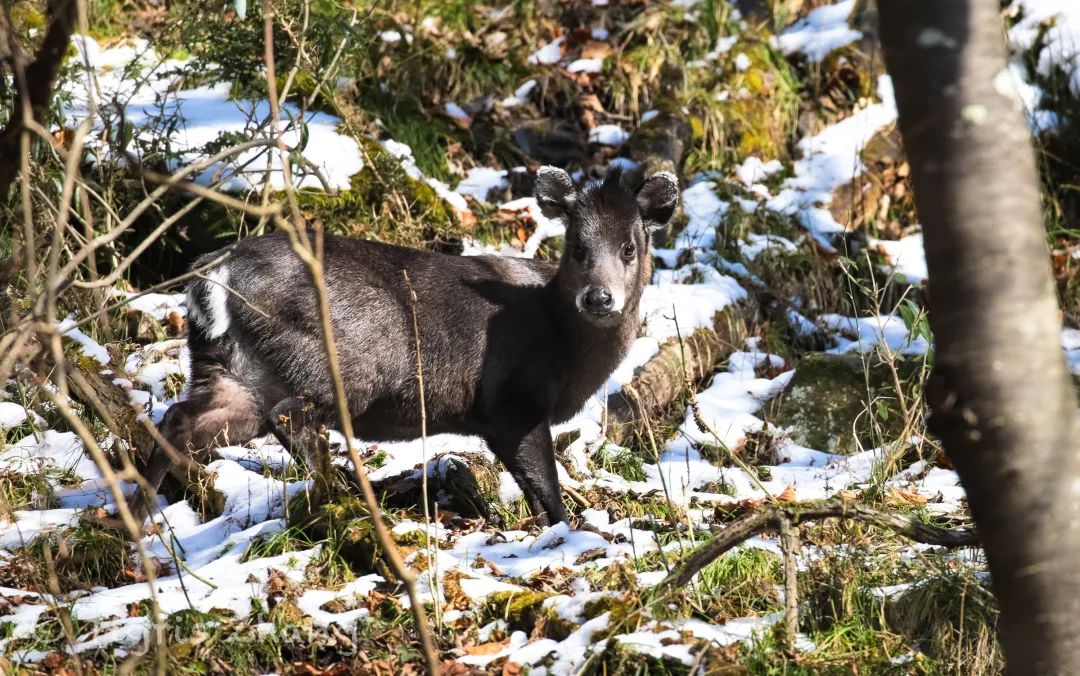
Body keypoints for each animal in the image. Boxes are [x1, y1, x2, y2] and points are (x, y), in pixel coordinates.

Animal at [150, 166, 673, 524]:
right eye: (577, 247)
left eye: (629, 247)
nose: (599, 297)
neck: (564, 341)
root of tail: (215, 273)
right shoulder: (512, 401)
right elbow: (545, 487)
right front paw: (570, 532)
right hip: (340, 358)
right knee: (290, 415)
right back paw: (345, 495)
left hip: (229, 367)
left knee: (180, 418)